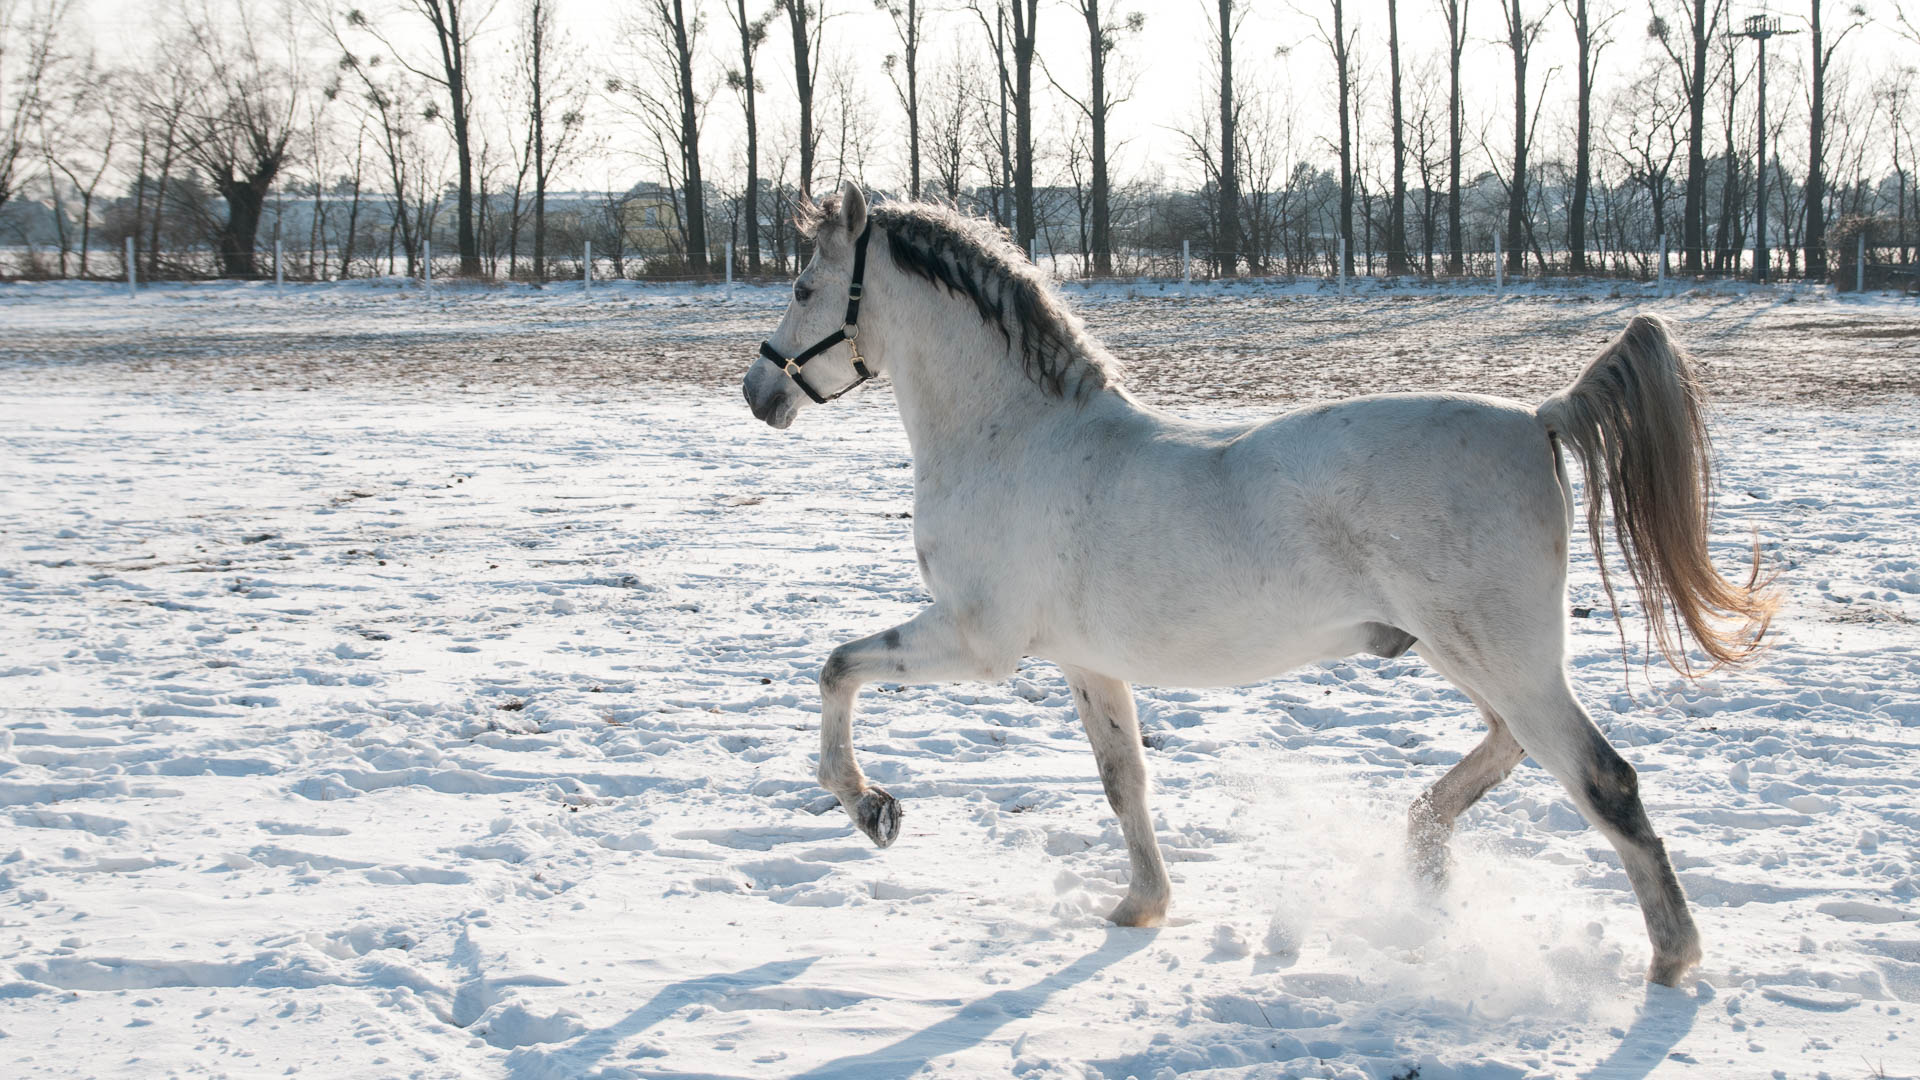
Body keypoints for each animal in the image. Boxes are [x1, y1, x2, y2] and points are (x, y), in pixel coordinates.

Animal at [741, 180, 1774, 980]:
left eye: (803, 285)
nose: (759, 394)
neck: (1015, 439)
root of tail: (1537, 417)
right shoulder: (1086, 662)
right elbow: (1124, 781)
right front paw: (1142, 906)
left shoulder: (975, 639)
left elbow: (837, 669)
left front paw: (871, 807)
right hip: (1474, 658)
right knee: (1514, 750)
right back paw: (1423, 855)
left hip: (1503, 658)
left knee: (1604, 779)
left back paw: (1671, 959)